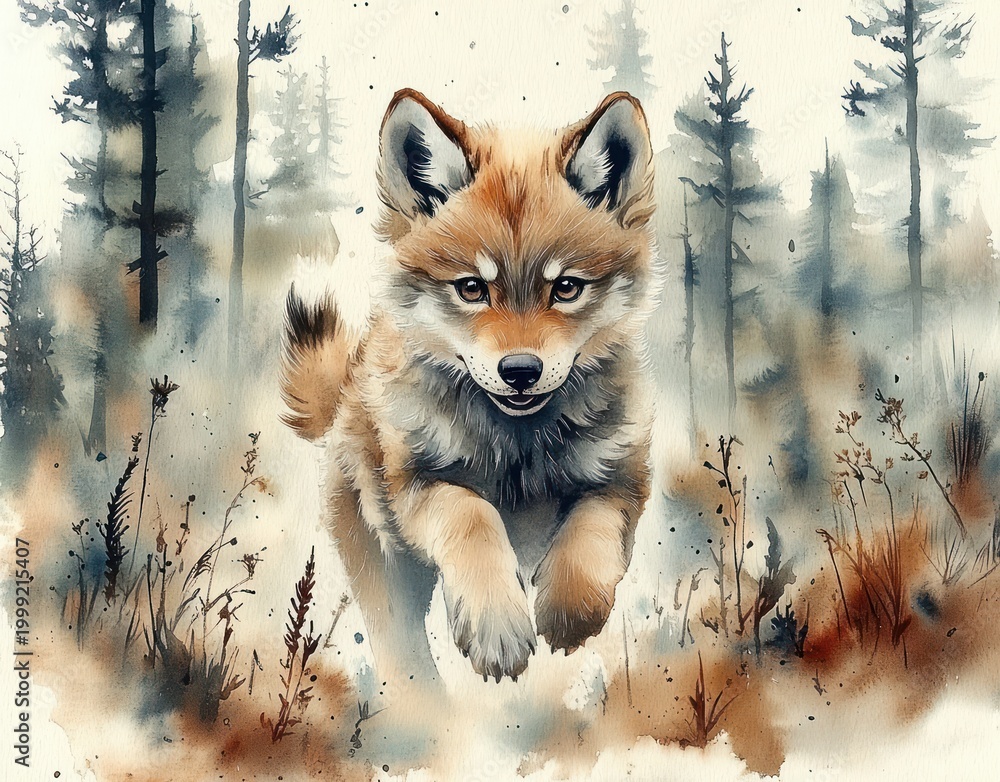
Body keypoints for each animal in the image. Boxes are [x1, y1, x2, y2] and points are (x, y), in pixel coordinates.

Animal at [280, 88, 659, 685]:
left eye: (566, 288)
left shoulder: (622, 481)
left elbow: (588, 539)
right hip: (386, 571)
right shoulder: (417, 487)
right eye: (473, 288)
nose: (520, 370)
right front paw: (496, 628)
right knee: (402, 651)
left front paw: (568, 612)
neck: (518, 453)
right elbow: (474, 518)